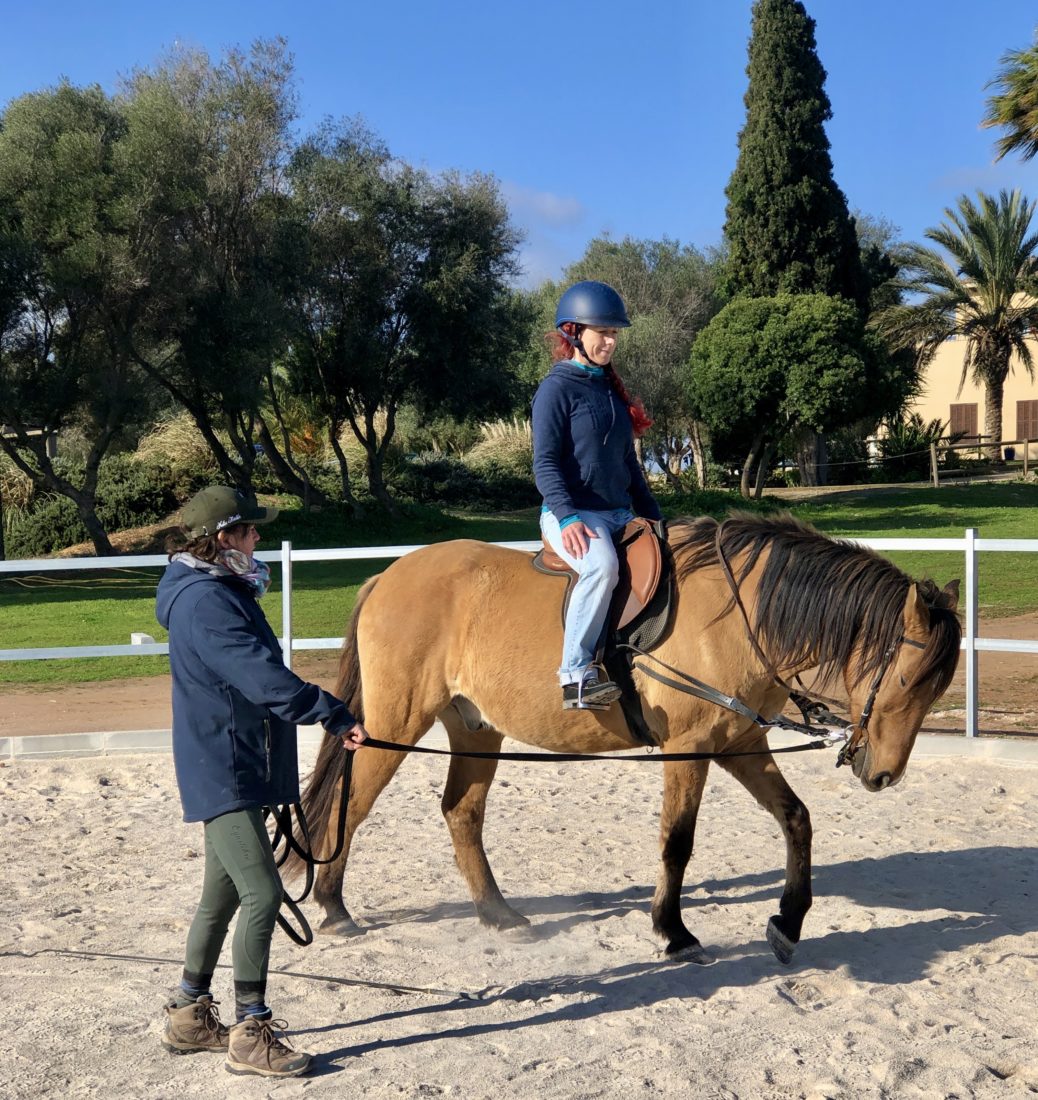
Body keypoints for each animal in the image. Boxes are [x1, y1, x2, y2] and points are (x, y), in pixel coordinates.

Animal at [292, 508, 958, 963]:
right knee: (351, 803)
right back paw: (334, 907)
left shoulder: (740, 743)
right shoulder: (690, 747)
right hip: (393, 726)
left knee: (462, 812)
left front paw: (788, 923)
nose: (883, 774)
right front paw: (673, 930)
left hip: (475, 729)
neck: (738, 617)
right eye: (908, 679)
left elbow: (796, 819)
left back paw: (498, 914)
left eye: (936, 689)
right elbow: (677, 842)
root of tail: (387, 575)